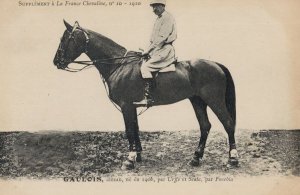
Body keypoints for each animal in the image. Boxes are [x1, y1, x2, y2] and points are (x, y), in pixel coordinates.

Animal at [52, 21, 238, 169]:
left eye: (64, 39)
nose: (56, 62)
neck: (119, 64)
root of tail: (215, 64)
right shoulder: (132, 106)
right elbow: (135, 128)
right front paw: (138, 155)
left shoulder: (126, 106)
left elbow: (129, 130)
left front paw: (129, 159)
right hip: (197, 101)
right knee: (205, 126)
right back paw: (196, 158)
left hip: (214, 100)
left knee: (228, 123)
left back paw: (233, 159)